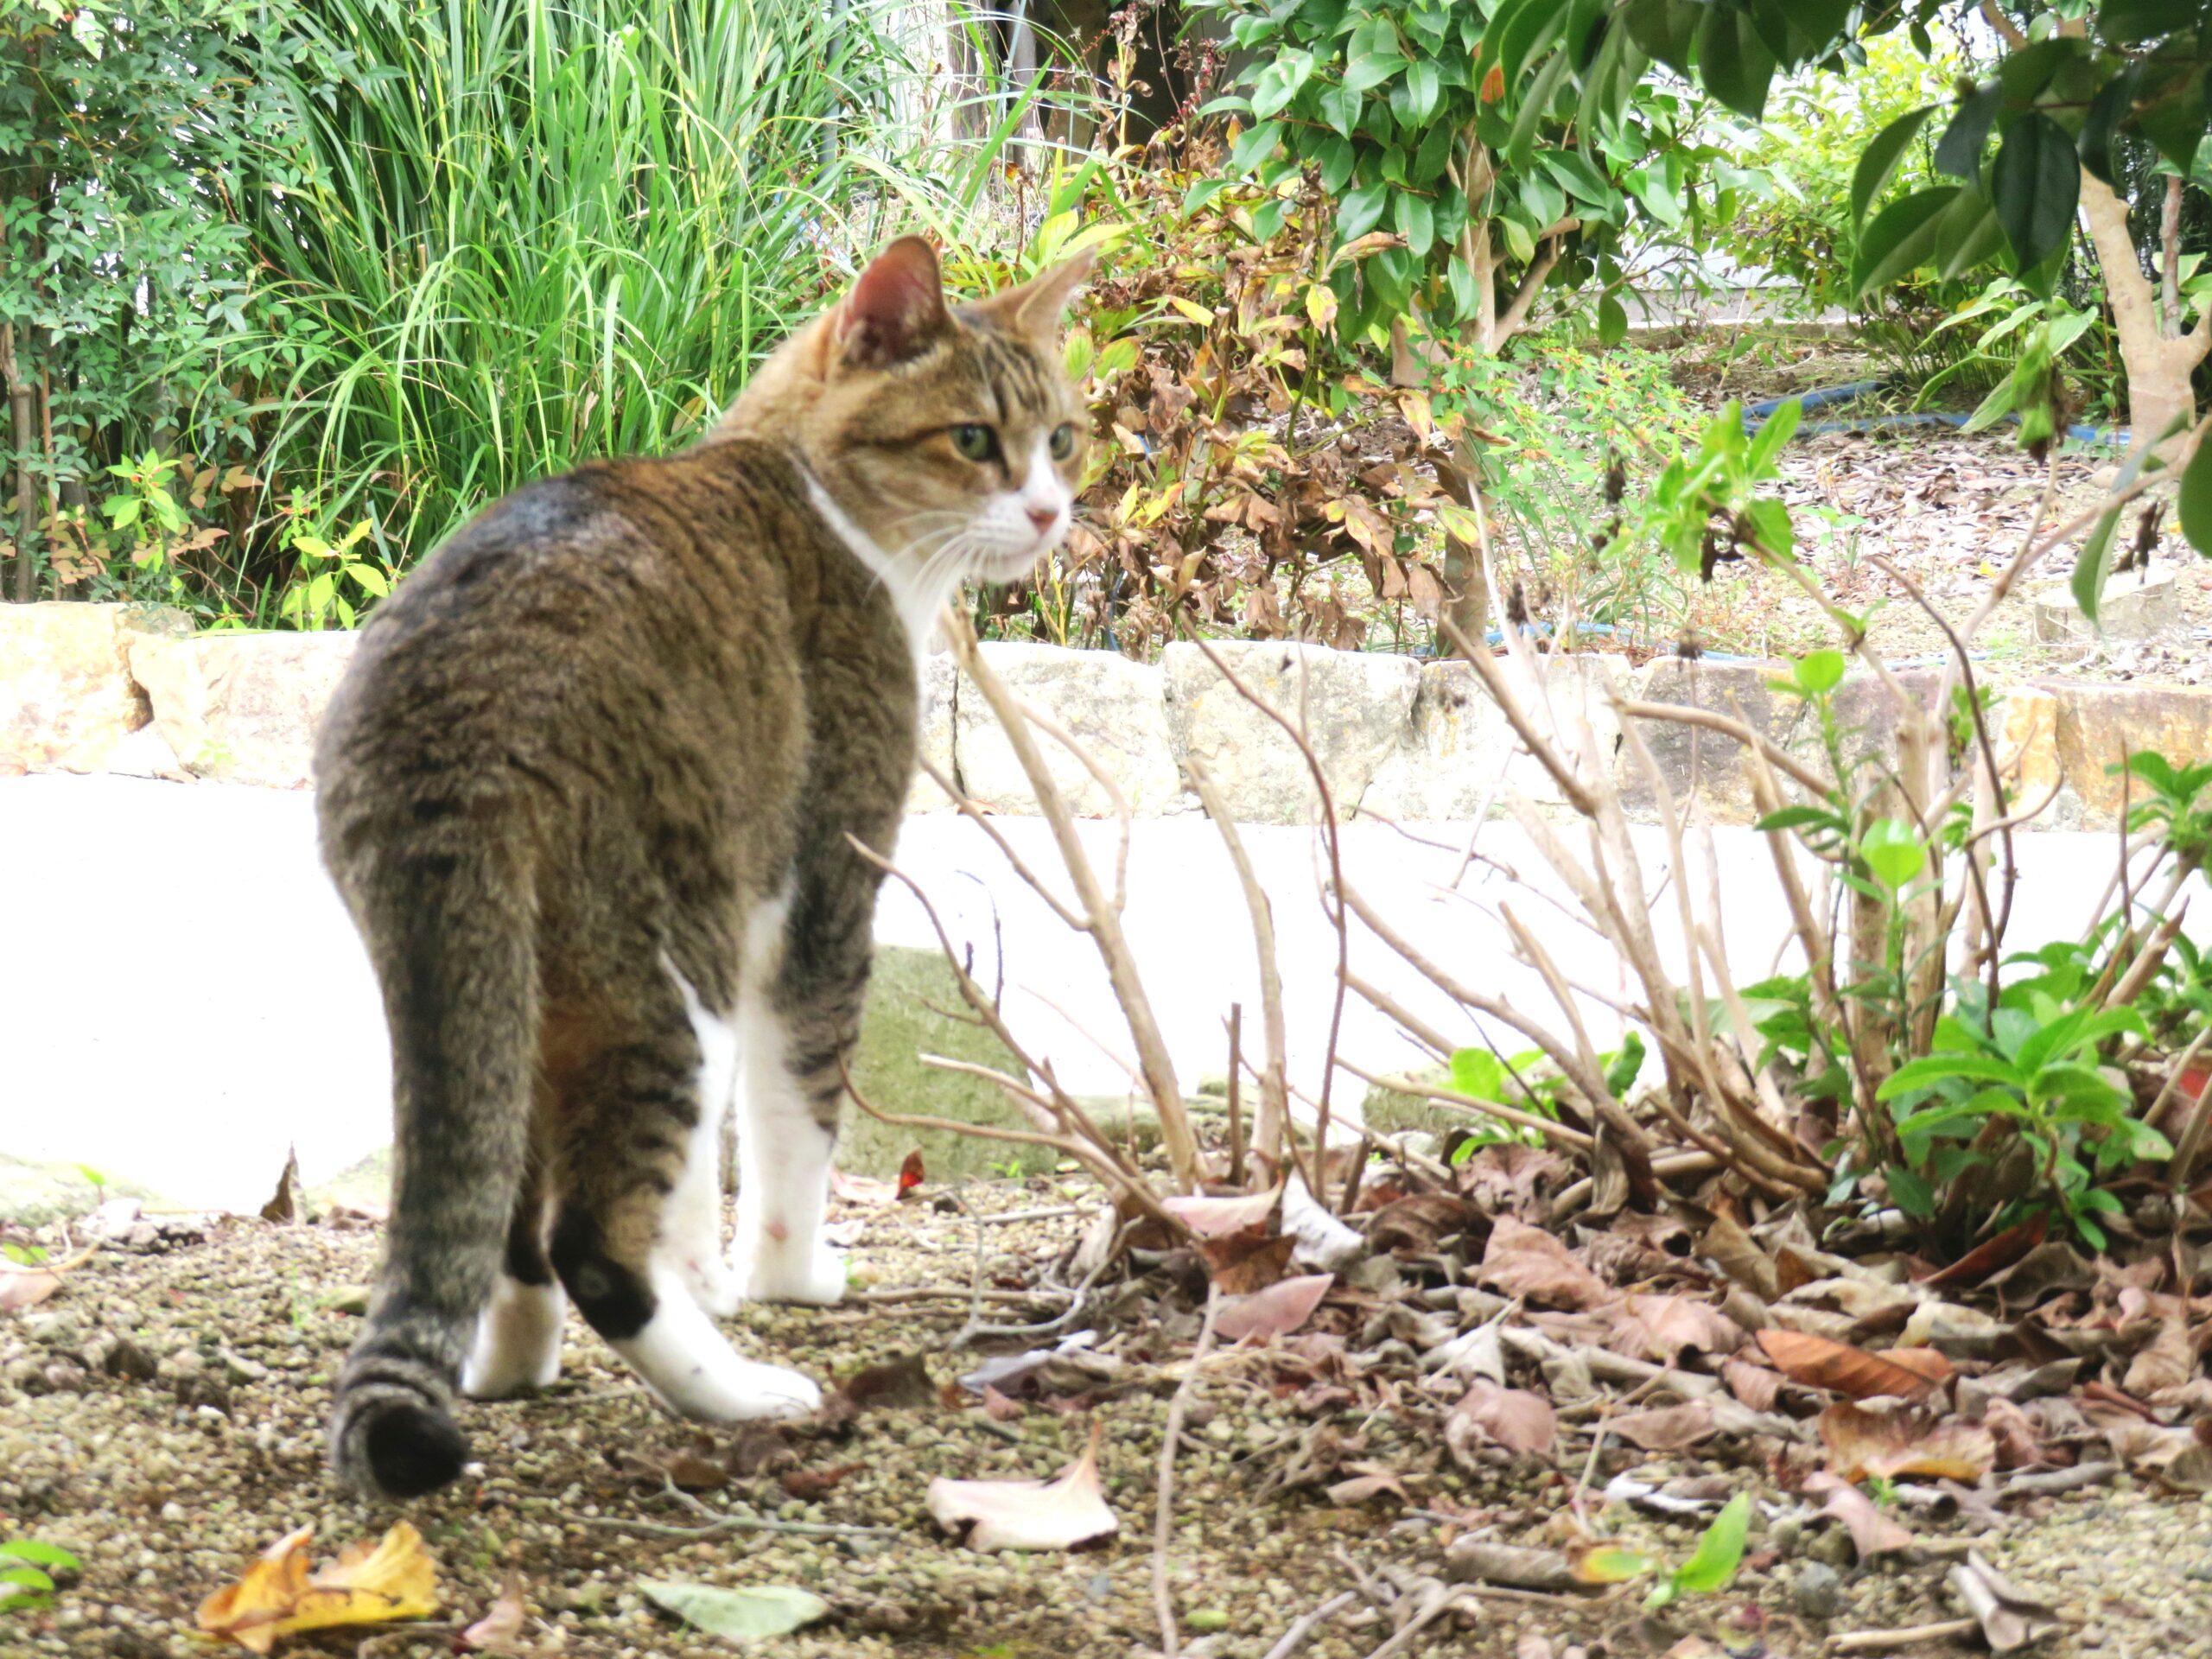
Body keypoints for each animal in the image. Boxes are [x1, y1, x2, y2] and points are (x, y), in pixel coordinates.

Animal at [316, 236, 1092, 1503]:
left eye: (1062, 437)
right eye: (975, 439)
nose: (1046, 510)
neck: (801, 483)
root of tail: (449, 719)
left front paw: (711, 1279)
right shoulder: (819, 896)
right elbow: (794, 1124)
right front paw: (786, 1277)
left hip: (525, 982)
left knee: (515, 1209)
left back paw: (514, 1361)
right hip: (670, 976)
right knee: (590, 1241)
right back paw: (735, 1391)